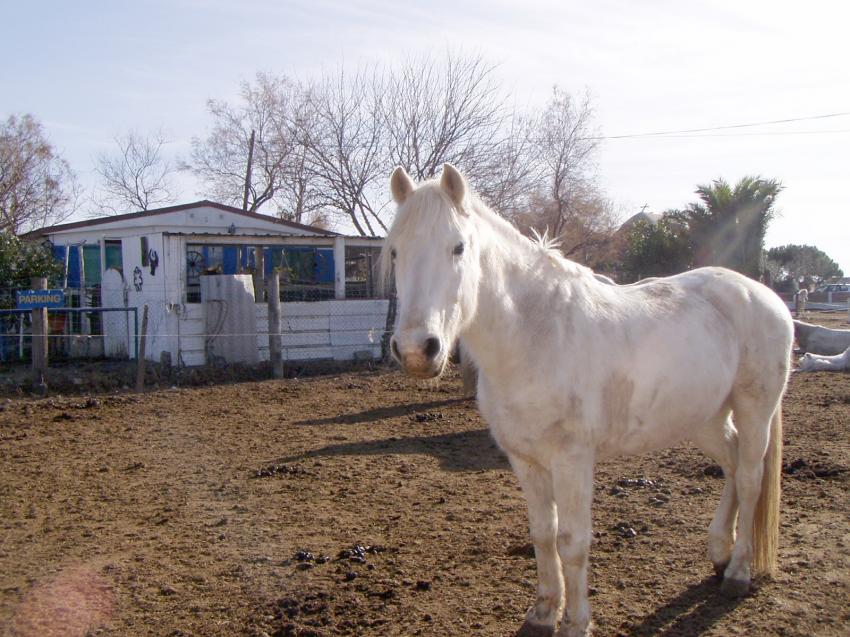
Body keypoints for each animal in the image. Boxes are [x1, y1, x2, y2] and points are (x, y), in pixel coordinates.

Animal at [382, 164, 792, 637]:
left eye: (458, 247)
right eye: (395, 252)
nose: (417, 350)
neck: (535, 335)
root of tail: (764, 296)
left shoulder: (572, 459)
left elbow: (572, 542)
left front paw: (577, 622)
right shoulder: (525, 459)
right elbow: (543, 534)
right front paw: (542, 613)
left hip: (755, 409)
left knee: (750, 477)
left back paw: (738, 573)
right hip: (705, 418)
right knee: (732, 465)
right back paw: (720, 553)